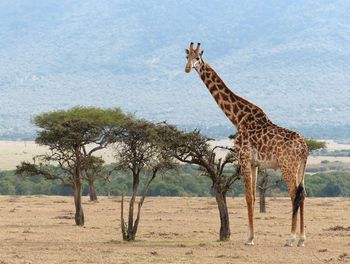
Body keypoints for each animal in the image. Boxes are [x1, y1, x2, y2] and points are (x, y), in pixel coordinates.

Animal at [185, 42, 308, 246]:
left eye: (198, 58)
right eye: (186, 57)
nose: (187, 68)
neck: (238, 118)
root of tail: (305, 148)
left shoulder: (243, 157)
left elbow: (248, 196)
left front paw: (249, 238)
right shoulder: (254, 163)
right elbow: (254, 196)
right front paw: (251, 236)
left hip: (287, 167)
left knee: (294, 194)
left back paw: (291, 238)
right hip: (300, 169)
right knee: (303, 194)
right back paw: (302, 239)